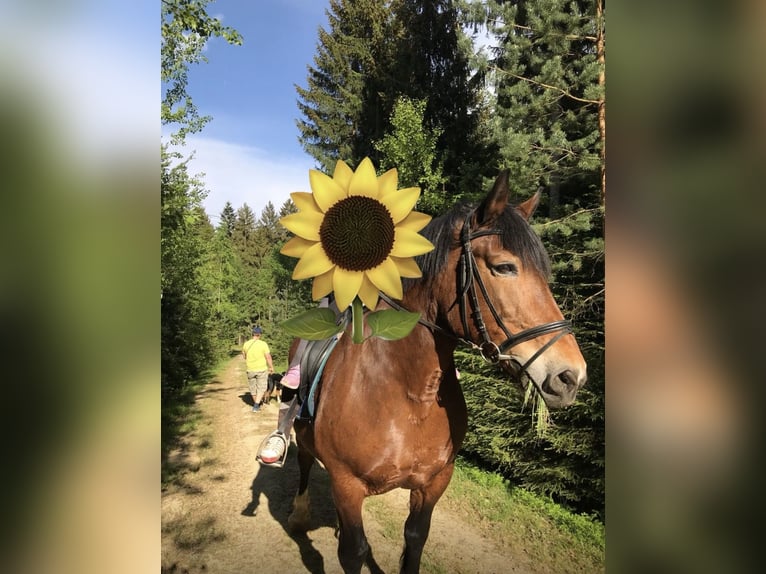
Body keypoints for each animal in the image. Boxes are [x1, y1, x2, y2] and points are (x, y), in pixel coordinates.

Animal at [286, 172, 588, 574]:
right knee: (304, 461)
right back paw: (299, 514)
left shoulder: (433, 483)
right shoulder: (346, 483)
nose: (571, 376)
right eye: (504, 267)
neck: (411, 394)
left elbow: (414, 541)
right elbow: (354, 551)